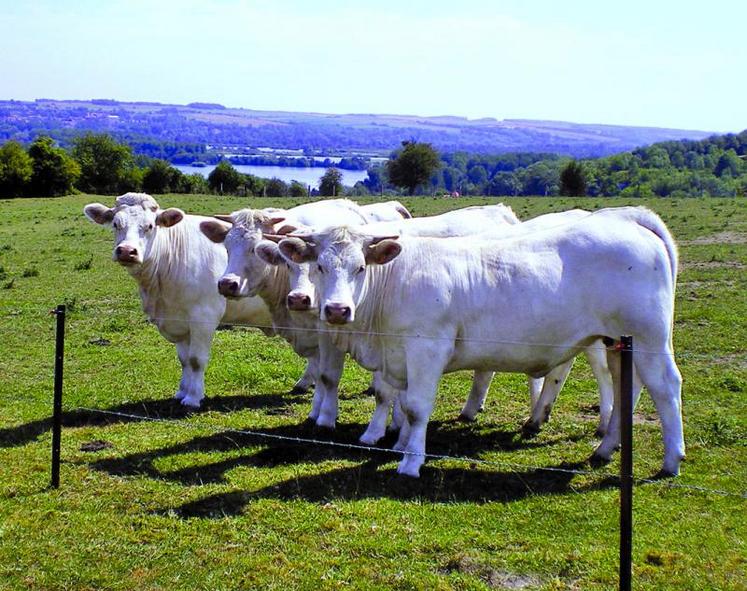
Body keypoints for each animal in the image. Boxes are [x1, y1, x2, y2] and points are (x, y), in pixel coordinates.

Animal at [82, 192, 274, 410]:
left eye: (150, 226)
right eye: (115, 223)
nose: (126, 251)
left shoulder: (204, 316)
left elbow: (196, 359)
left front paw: (193, 398)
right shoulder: (178, 320)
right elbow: (184, 360)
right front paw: (182, 391)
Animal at [280, 206, 684, 478]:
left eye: (361, 267)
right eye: (320, 266)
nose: (336, 309)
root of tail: (628, 219)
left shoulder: (426, 349)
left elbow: (417, 407)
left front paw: (411, 463)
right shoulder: (399, 356)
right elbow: (402, 404)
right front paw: (400, 444)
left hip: (648, 337)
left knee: (665, 387)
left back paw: (671, 460)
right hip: (618, 342)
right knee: (627, 388)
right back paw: (604, 449)